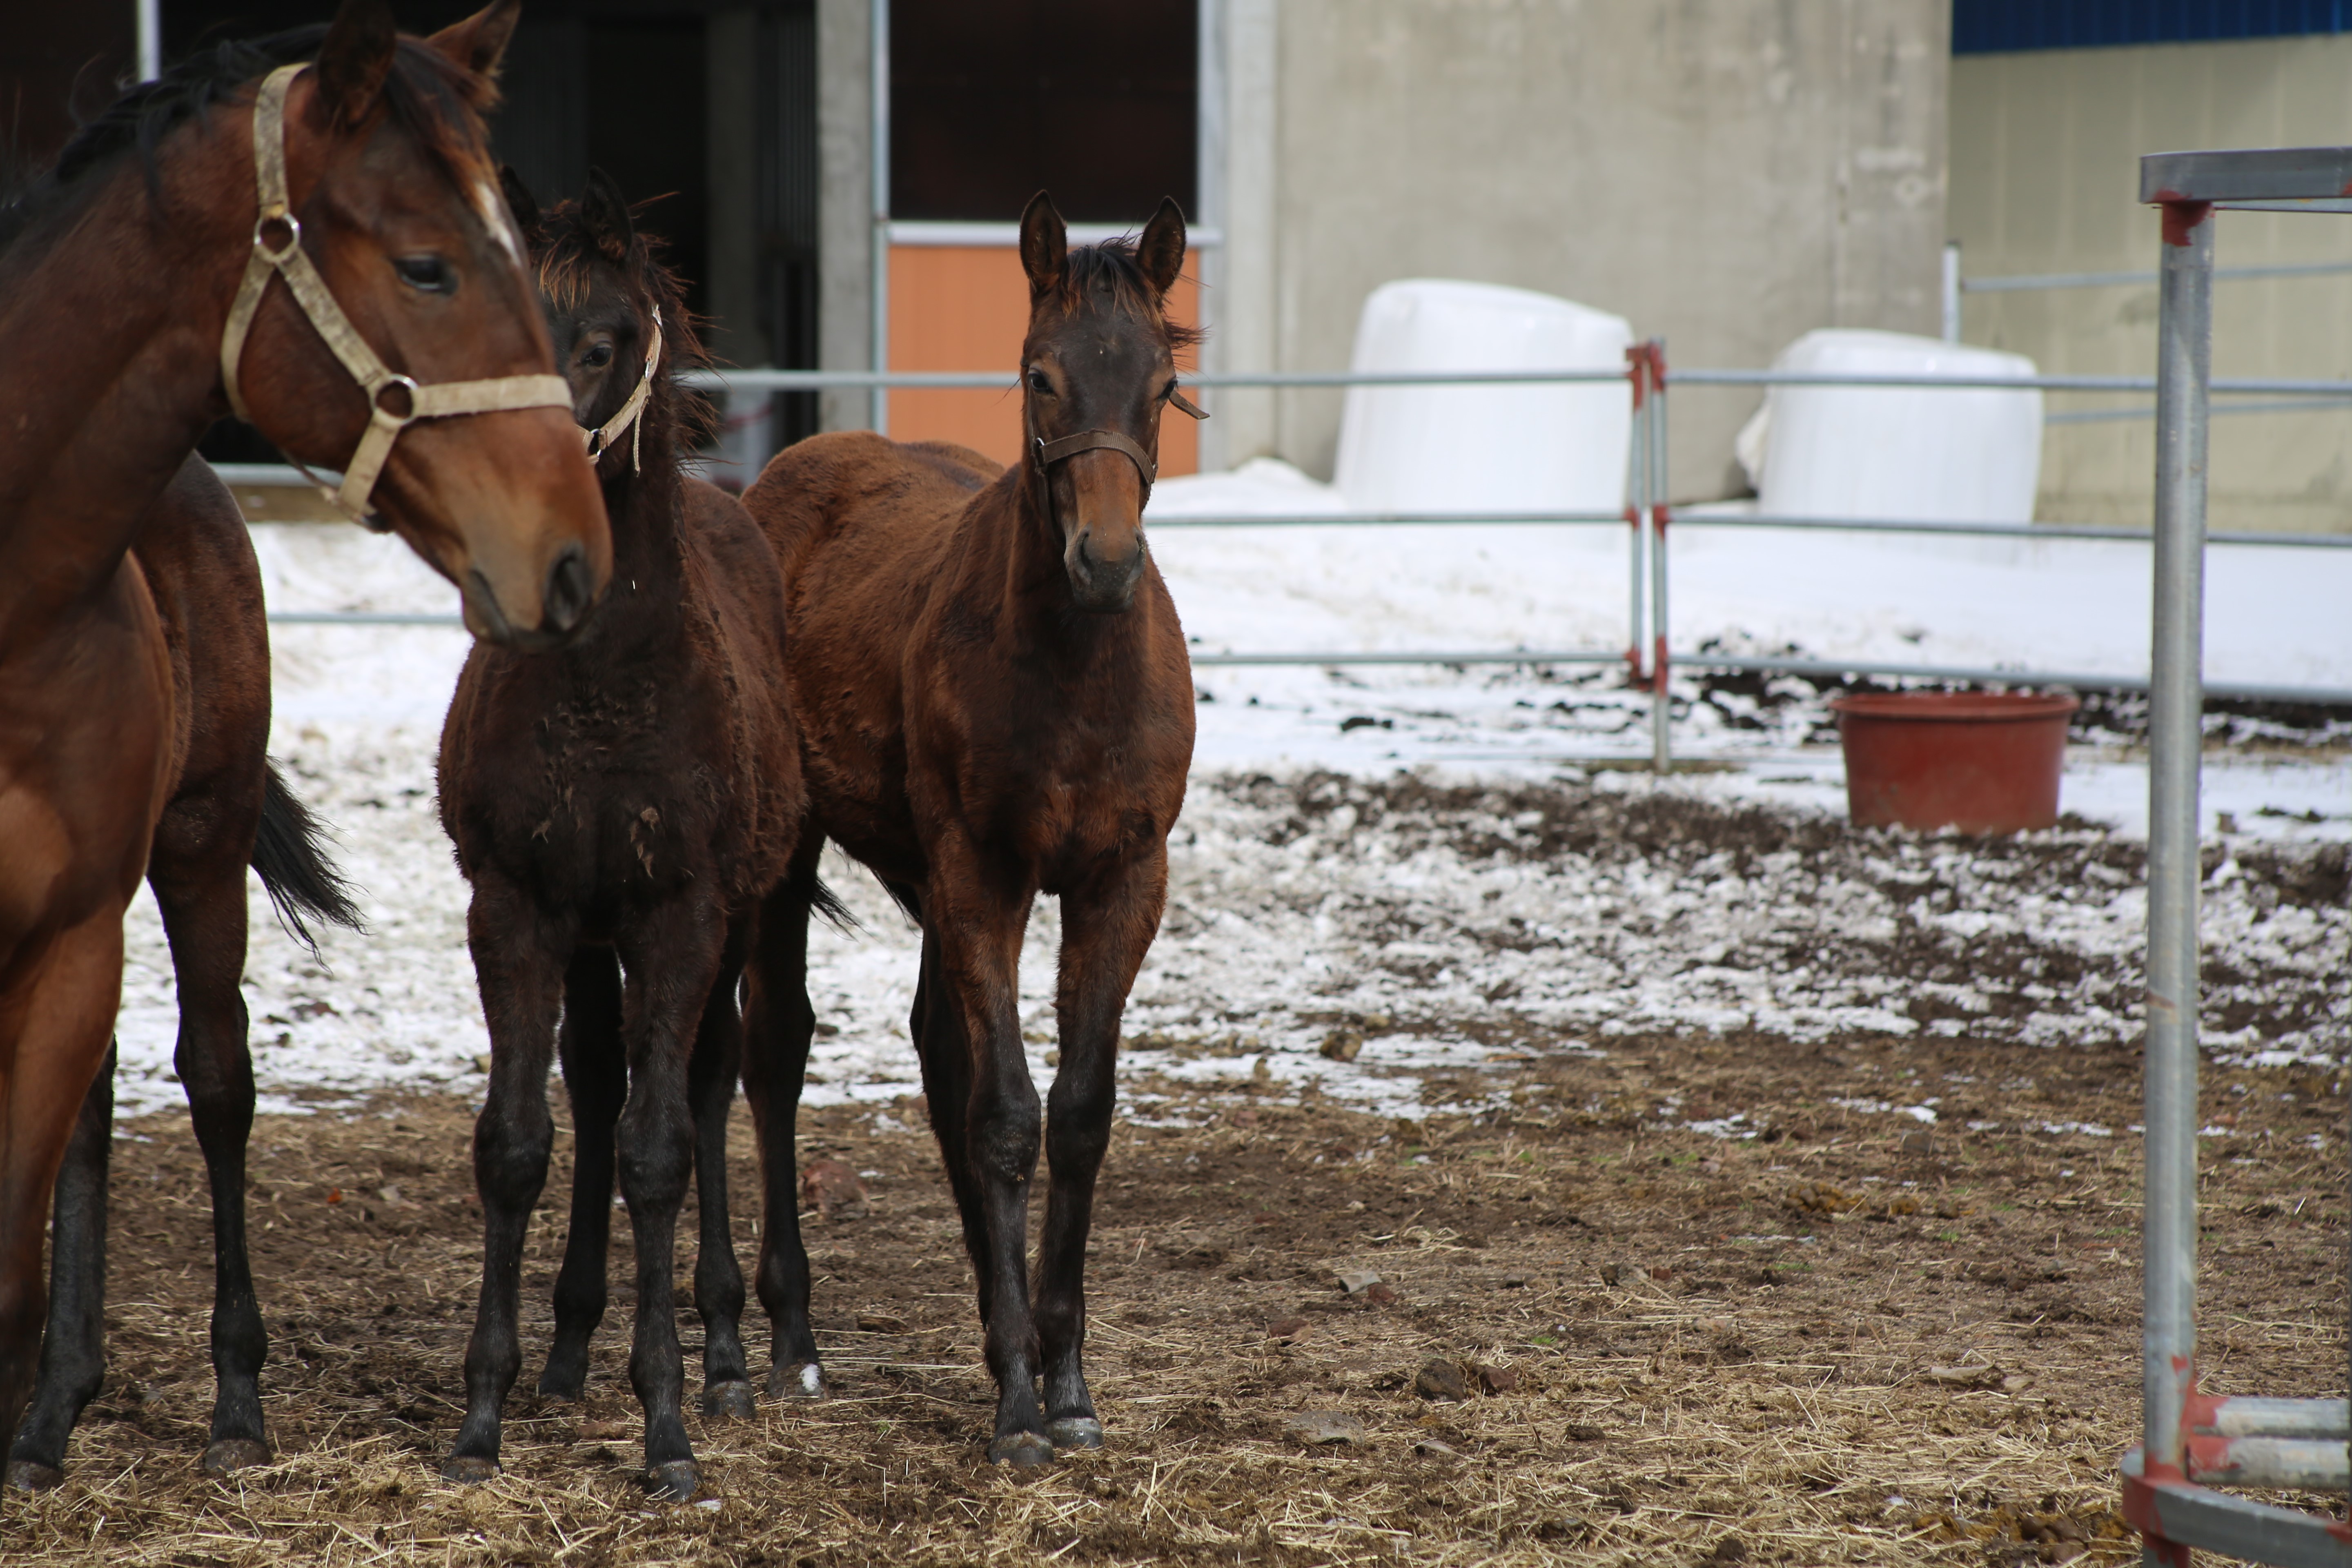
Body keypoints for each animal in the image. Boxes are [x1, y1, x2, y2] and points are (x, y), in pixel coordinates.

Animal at [440, 169, 809, 1495]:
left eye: (600, 341)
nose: (522, 475)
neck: (605, 684)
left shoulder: (681, 914)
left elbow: (660, 1148)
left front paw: (669, 1423)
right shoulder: (517, 907)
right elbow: (517, 1141)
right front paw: (484, 1413)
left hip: (742, 917)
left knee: (714, 1079)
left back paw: (735, 1354)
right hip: (591, 938)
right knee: (598, 1084)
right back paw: (567, 1347)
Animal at [743, 196, 1204, 1476]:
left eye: (1161, 384)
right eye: (1041, 376)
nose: (1107, 562)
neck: (1070, 671)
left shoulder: (1120, 881)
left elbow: (1079, 1115)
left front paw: (1063, 1379)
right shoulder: (982, 874)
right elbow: (1006, 1115)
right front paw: (1017, 1412)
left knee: (934, 1051)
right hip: (796, 856)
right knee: (772, 1053)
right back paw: (788, 1341)